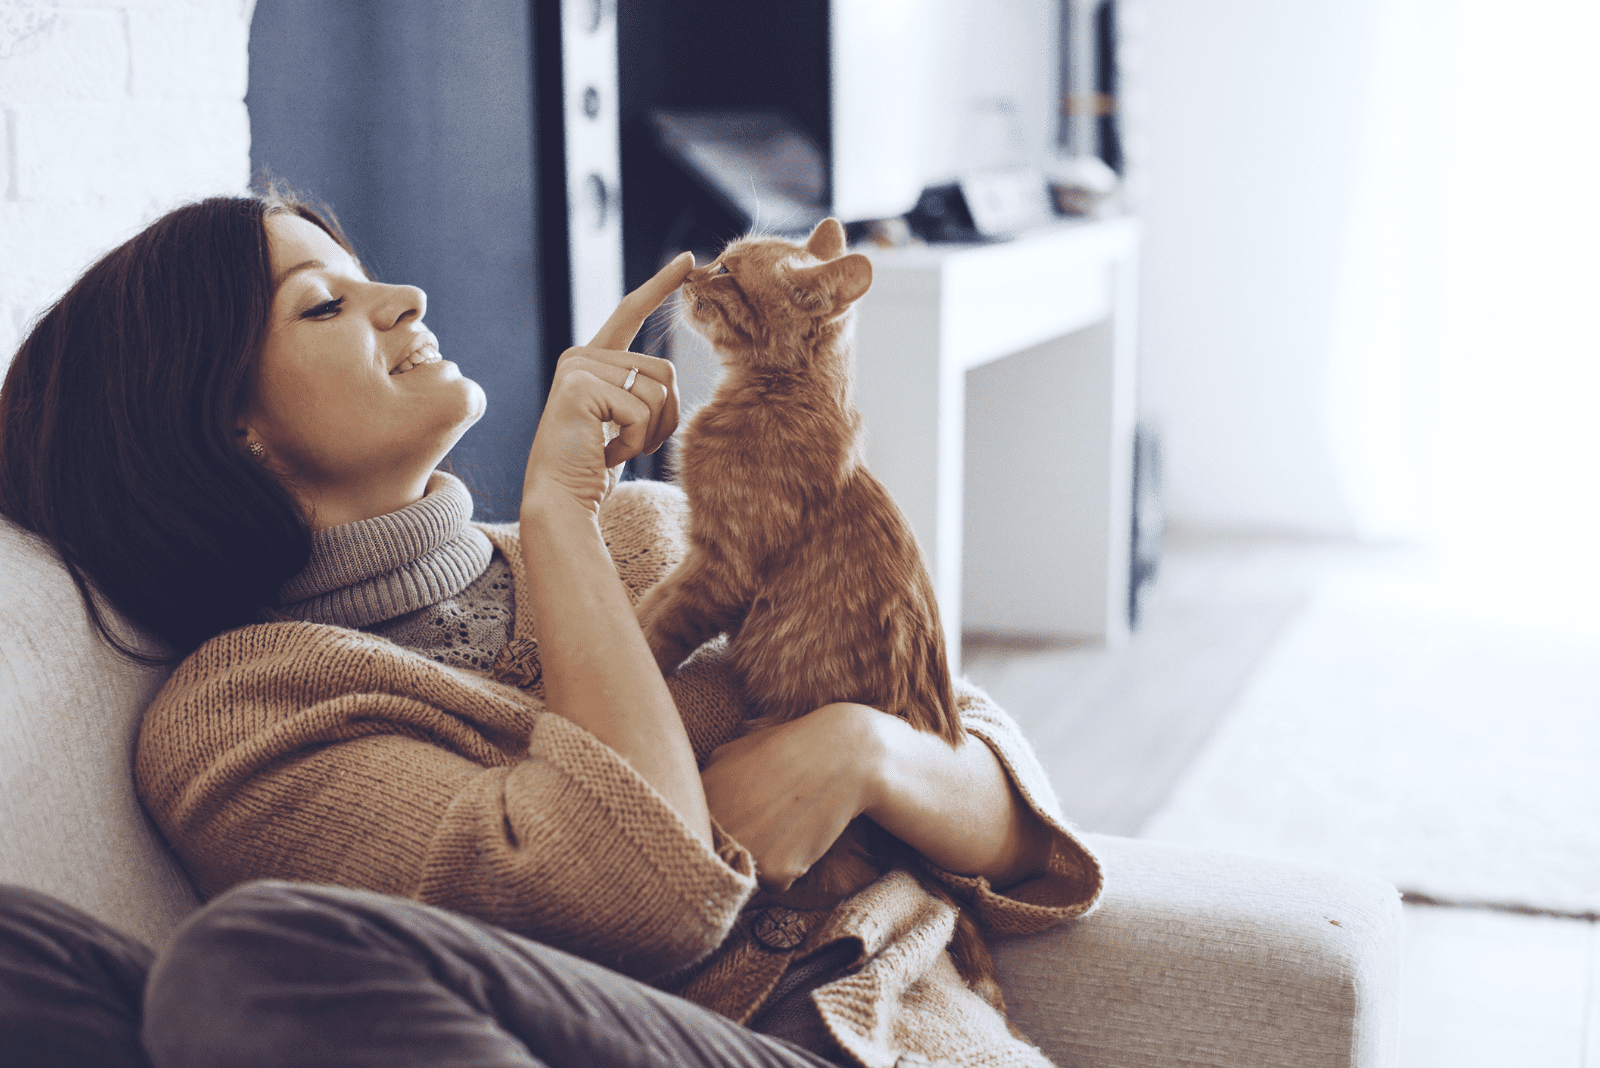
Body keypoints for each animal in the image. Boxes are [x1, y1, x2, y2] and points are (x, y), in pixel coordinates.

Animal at [633, 214, 998, 1010]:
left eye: (730, 274)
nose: (691, 270)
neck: (773, 396)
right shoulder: (704, 561)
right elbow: (649, 601)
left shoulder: (720, 569)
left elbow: (655, 621)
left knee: (829, 888)